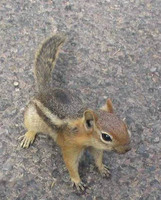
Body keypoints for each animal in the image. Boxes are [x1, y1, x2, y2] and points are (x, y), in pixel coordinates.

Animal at [19, 34, 131, 191]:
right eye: (106, 137)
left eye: (124, 126)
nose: (128, 149)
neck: (83, 134)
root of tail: (45, 90)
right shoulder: (70, 147)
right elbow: (70, 164)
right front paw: (77, 181)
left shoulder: (94, 146)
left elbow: (98, 157)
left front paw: (102, 168)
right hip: (32, 116)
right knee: (31, 127)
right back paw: (29, 135)